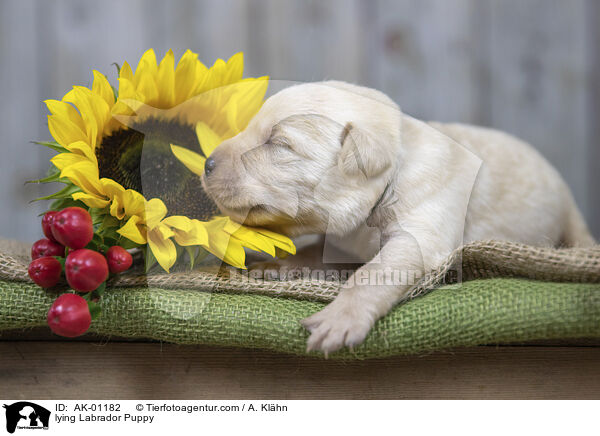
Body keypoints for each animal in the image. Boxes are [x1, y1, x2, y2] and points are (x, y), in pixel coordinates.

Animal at [199, 81, 592, 354]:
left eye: (278, 144)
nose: (207, 164)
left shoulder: (419, 236)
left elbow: (373, 273)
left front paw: (340, 319)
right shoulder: (342, 243)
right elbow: (315, 253)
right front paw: (278, 265)